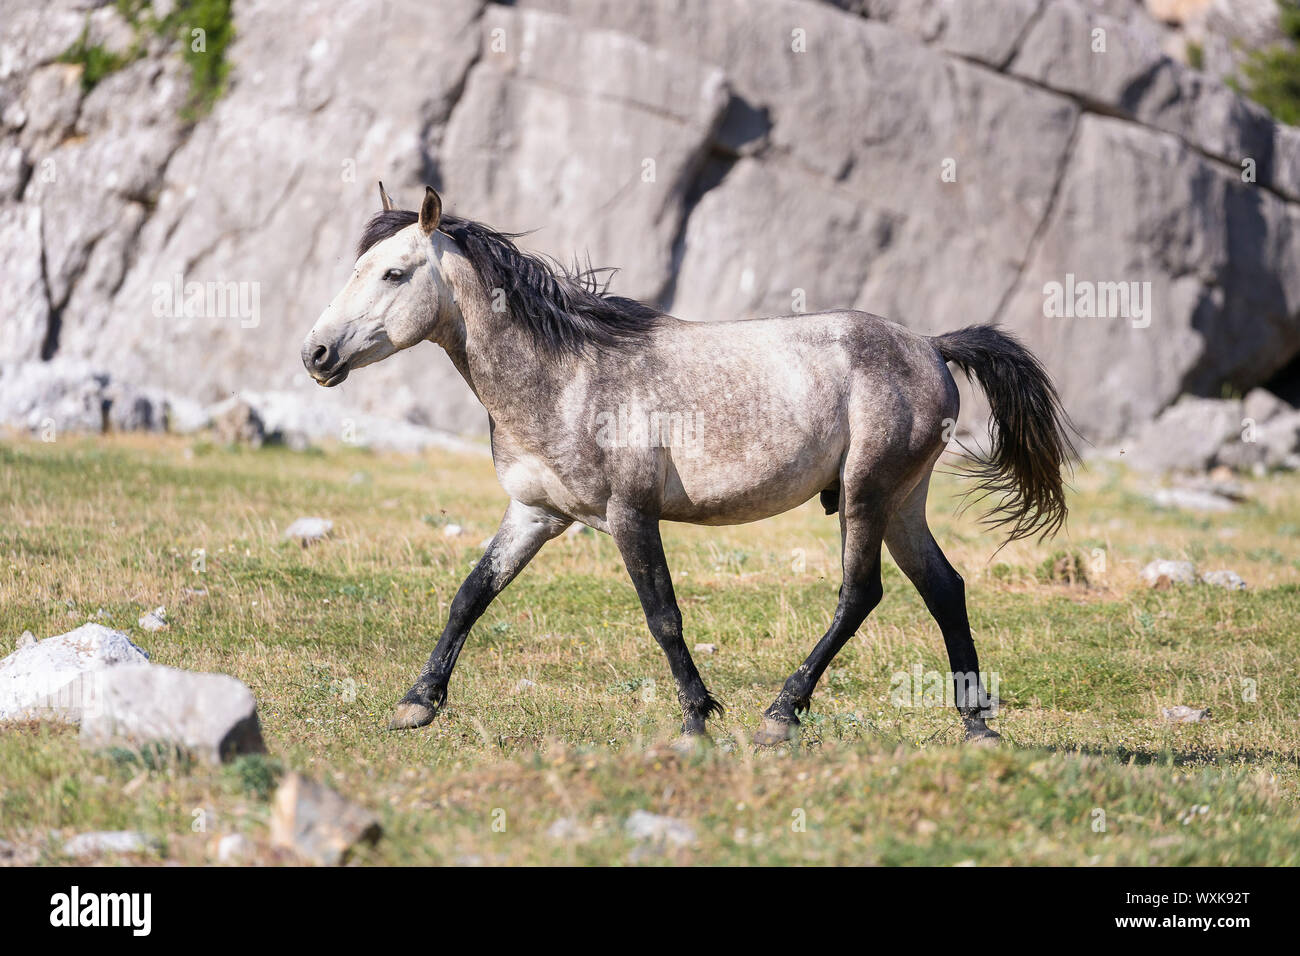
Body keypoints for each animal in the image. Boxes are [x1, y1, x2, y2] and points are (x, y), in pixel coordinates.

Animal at [301, 182, 1077, 745]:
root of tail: (931, 345)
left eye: (395, 272)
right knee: (944, 588)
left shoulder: (629, 515)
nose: (316, 354)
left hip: (867, 494)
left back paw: (781, 716)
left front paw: (698, 717)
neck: (566, 375)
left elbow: (663, 615)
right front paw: (417, 704)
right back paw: (976, 727)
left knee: (860, 594)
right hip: (903, 503)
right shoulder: (535, 513)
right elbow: (471, 595)